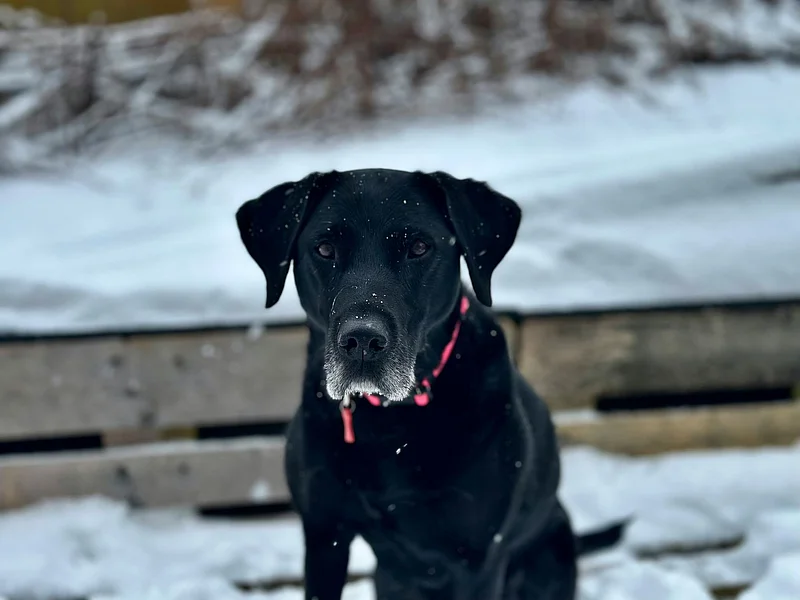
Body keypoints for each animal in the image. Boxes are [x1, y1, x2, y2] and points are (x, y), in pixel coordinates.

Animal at [236, 169, 625, 600]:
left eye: (419, 247)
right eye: (324, 248)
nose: (362, 341)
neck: (390, 423)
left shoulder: (477, 561)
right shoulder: (325, 537)